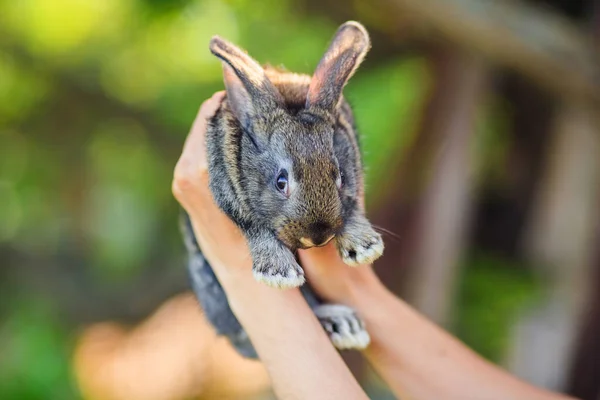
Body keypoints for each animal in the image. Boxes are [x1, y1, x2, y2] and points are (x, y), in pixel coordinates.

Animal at [179, 20, 384, 358]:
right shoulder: (231, 197)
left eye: (339, 175)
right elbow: (255, 228)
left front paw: (365, 246)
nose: (316, 237)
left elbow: (353, 208)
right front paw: (279, 274)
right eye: (281, 181)